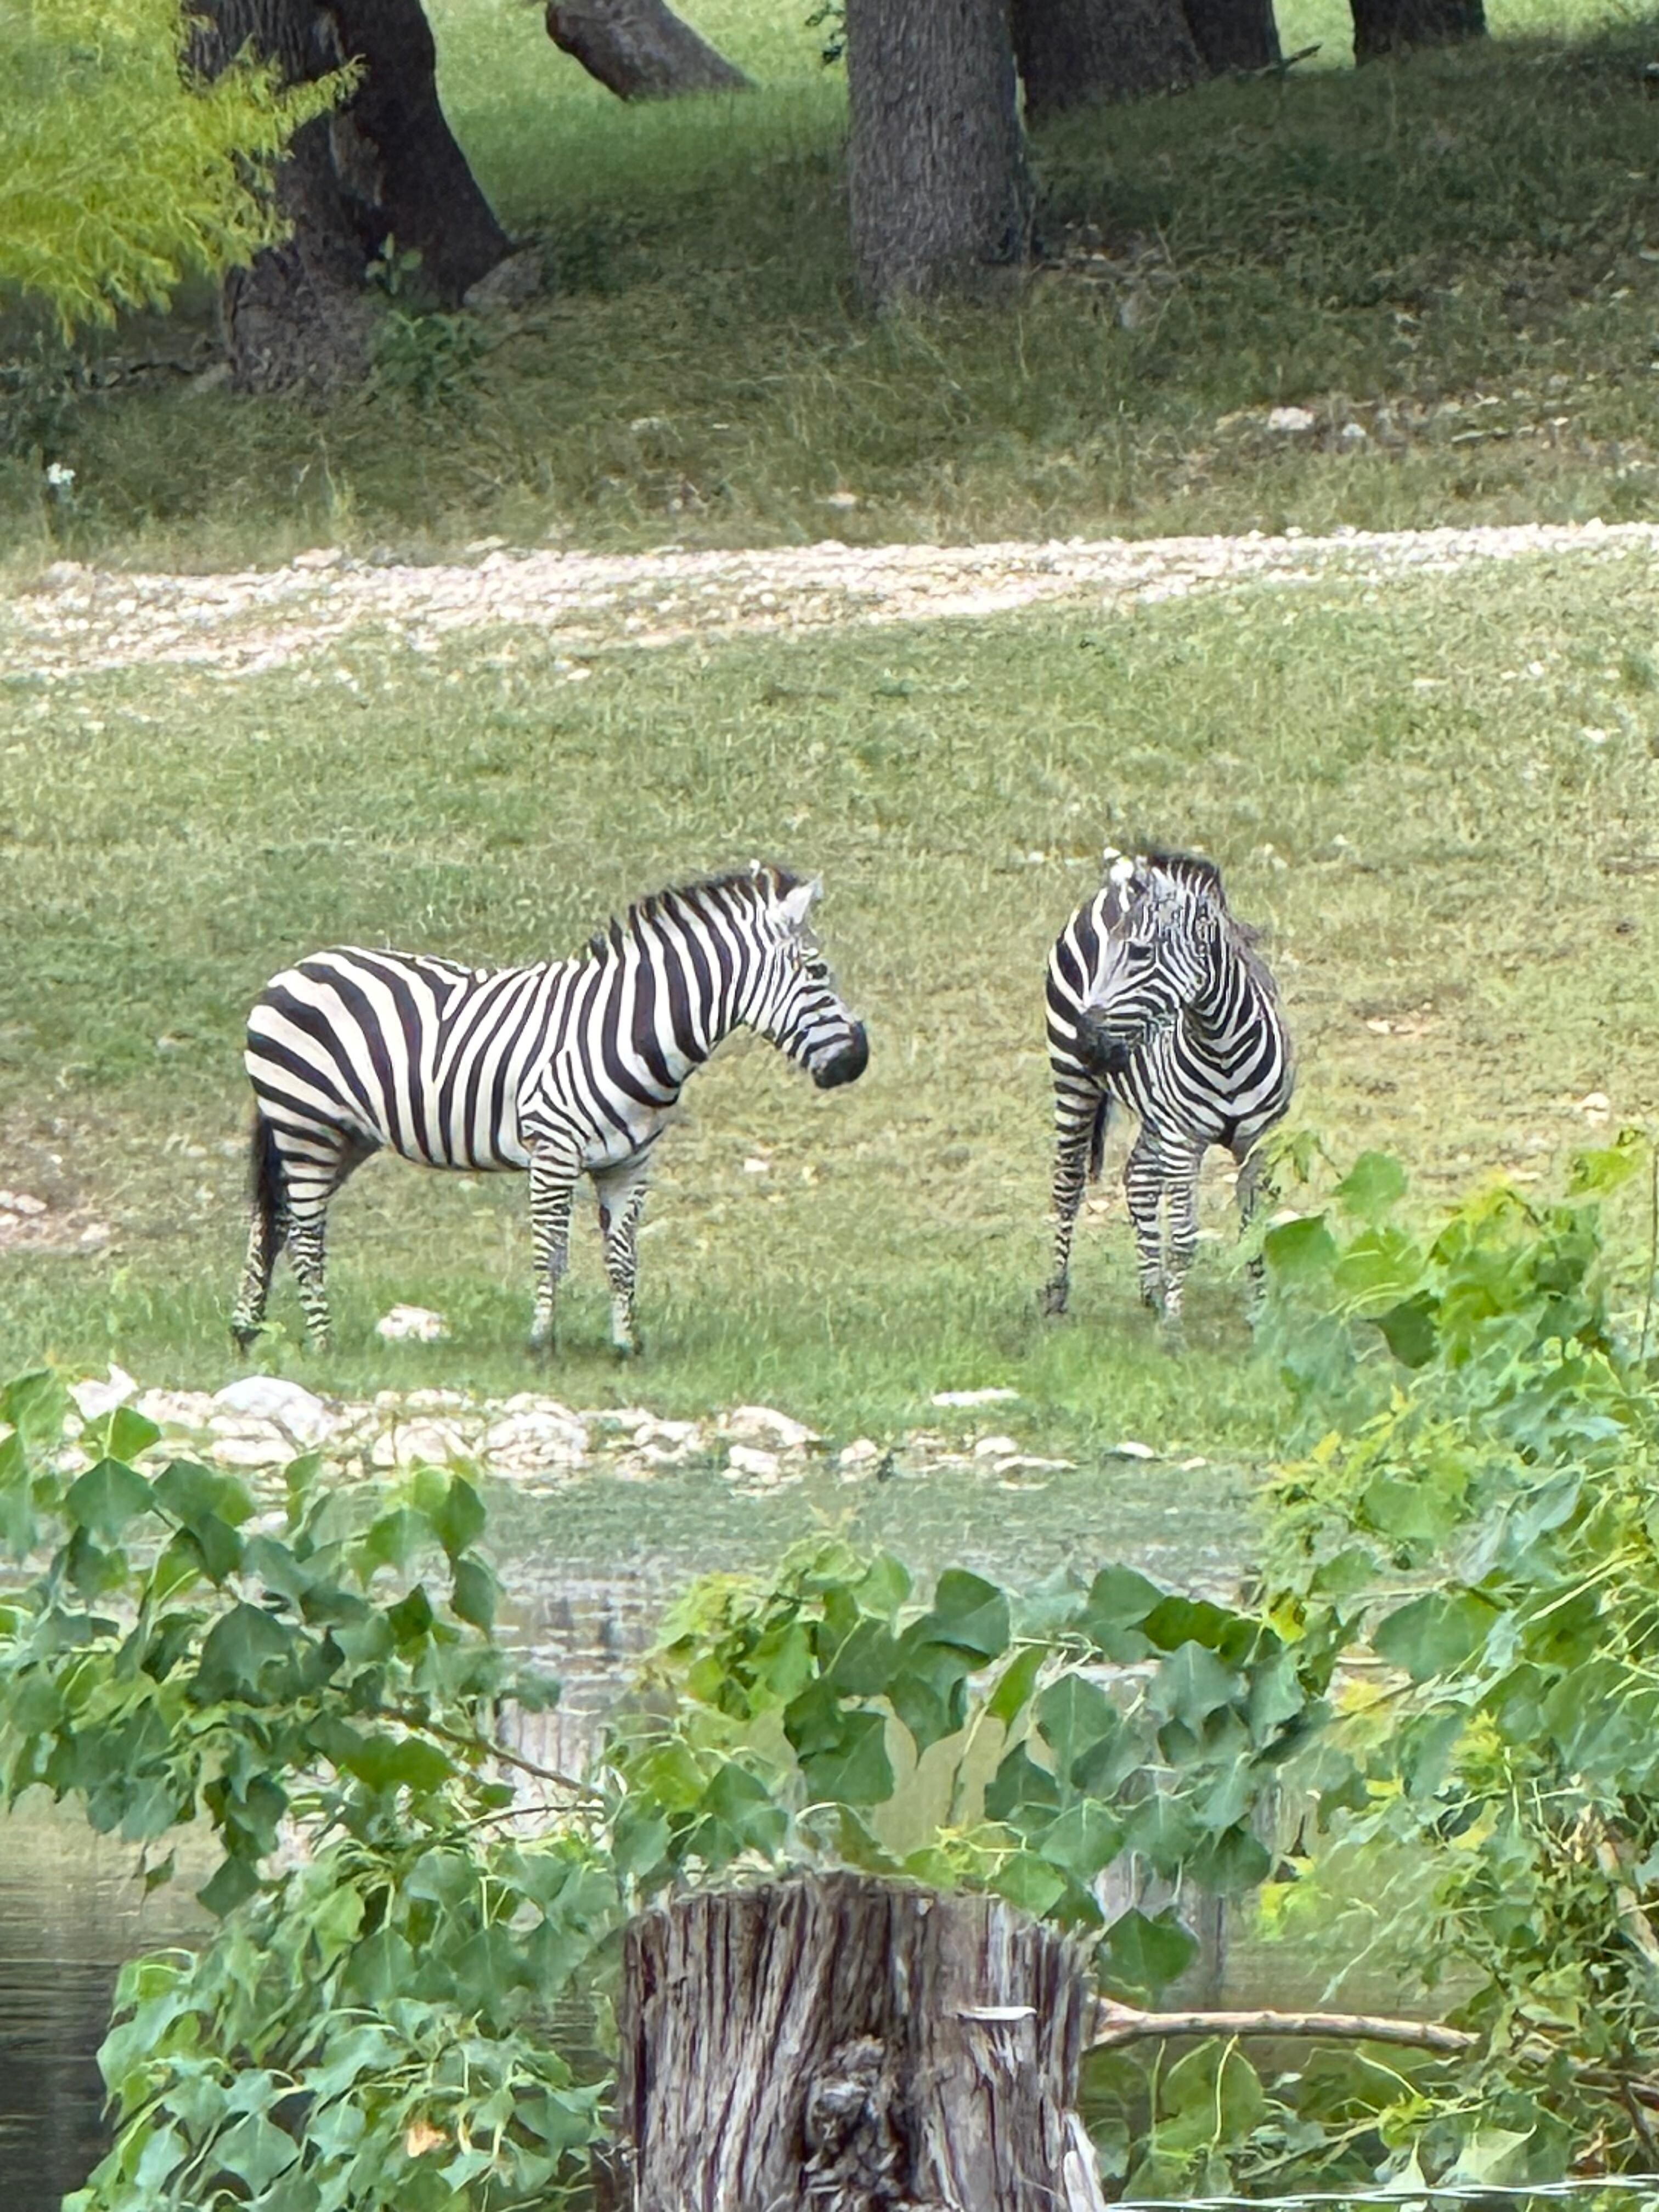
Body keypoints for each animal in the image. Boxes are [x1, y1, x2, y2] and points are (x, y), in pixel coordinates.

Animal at [231, 864, 868, 1357]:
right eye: (818, 972)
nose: (857, 1061)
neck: (631, 1030)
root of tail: (294, 970)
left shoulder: (629, 1164)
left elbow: (623, 1258)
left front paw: (626, 1347)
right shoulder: (554, 1150)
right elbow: (549, 1255)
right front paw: (542, 1344)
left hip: (343, 1136)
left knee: (274, 1219)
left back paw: (248, 1331)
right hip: (306, 1125)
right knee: (305, 1233)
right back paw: (322, 1343)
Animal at [1042, 848, 1293, 1325]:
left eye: (1141, 953)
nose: (1089, 1043)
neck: (1222, 1045)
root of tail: (1117, 888)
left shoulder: (1258, 1141)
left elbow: (1253, 1227)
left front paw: (1262, 1315)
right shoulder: (1184, 1140)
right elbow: (1183, 1238)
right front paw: (1175, 1326)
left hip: (1152, 1105)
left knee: (1138, 1176)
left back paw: (1151, 1289)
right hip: (1072, 1077)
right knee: (1068, 1181)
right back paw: (1055, 1296)